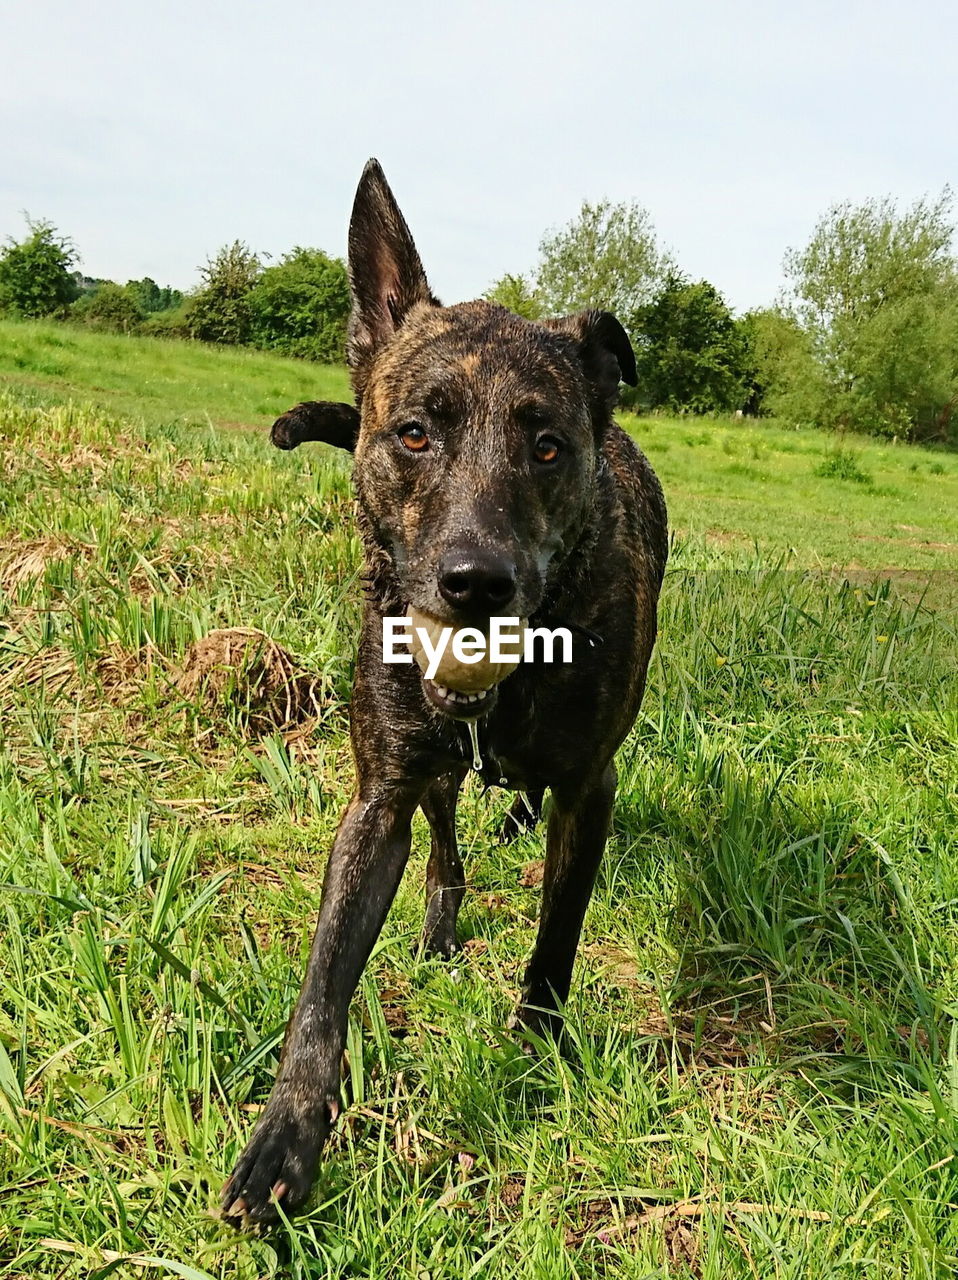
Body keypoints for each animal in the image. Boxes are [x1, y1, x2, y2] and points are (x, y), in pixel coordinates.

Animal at [220, 160, 665, 1228]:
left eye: (547, 446)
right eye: (414, 433)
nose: (475, 582)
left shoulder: (590, 790)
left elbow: (557, 936)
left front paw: (536, 1048)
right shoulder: (378, 799)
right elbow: (324, 985)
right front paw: (286, 1136)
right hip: (429, 776)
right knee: (448, 839)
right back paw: (440, 915)